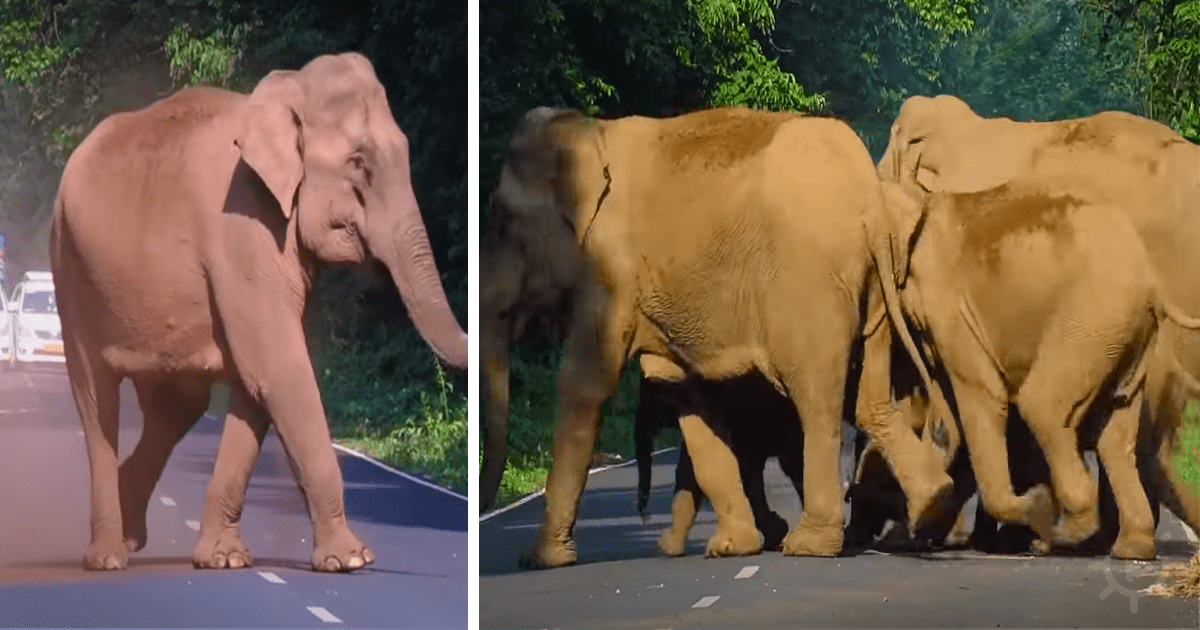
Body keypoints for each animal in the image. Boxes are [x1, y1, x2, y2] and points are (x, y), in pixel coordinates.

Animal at [50, 53, 468, 572]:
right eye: (358, 162)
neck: (283, 95)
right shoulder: (241, 228)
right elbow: (278, 369)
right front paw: (353, 560)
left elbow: (256, 382)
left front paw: (225, 560)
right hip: (70, 271)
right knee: (97, 398)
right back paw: (108, 557)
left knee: (176, 407)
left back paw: (130, 536)